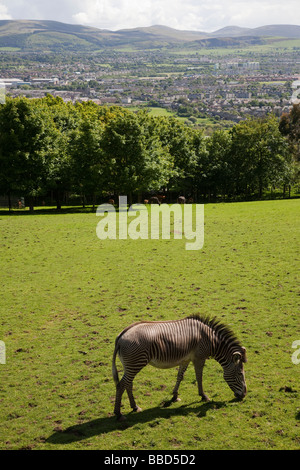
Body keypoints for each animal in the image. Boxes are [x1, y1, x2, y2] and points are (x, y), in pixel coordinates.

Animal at [111, 314, 247, 420]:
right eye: (240, 374)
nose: (244, 395)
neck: (210, 339)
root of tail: (121, 336)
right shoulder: (199, 358)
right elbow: (199, 377)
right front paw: (204, 396)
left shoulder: (185, 359)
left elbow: (180, 376)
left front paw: (175, 396)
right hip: (135, 363)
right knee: (121, 385)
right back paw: (119, 414)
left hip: (130, 365)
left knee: (128, 384)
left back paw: (134, 407)